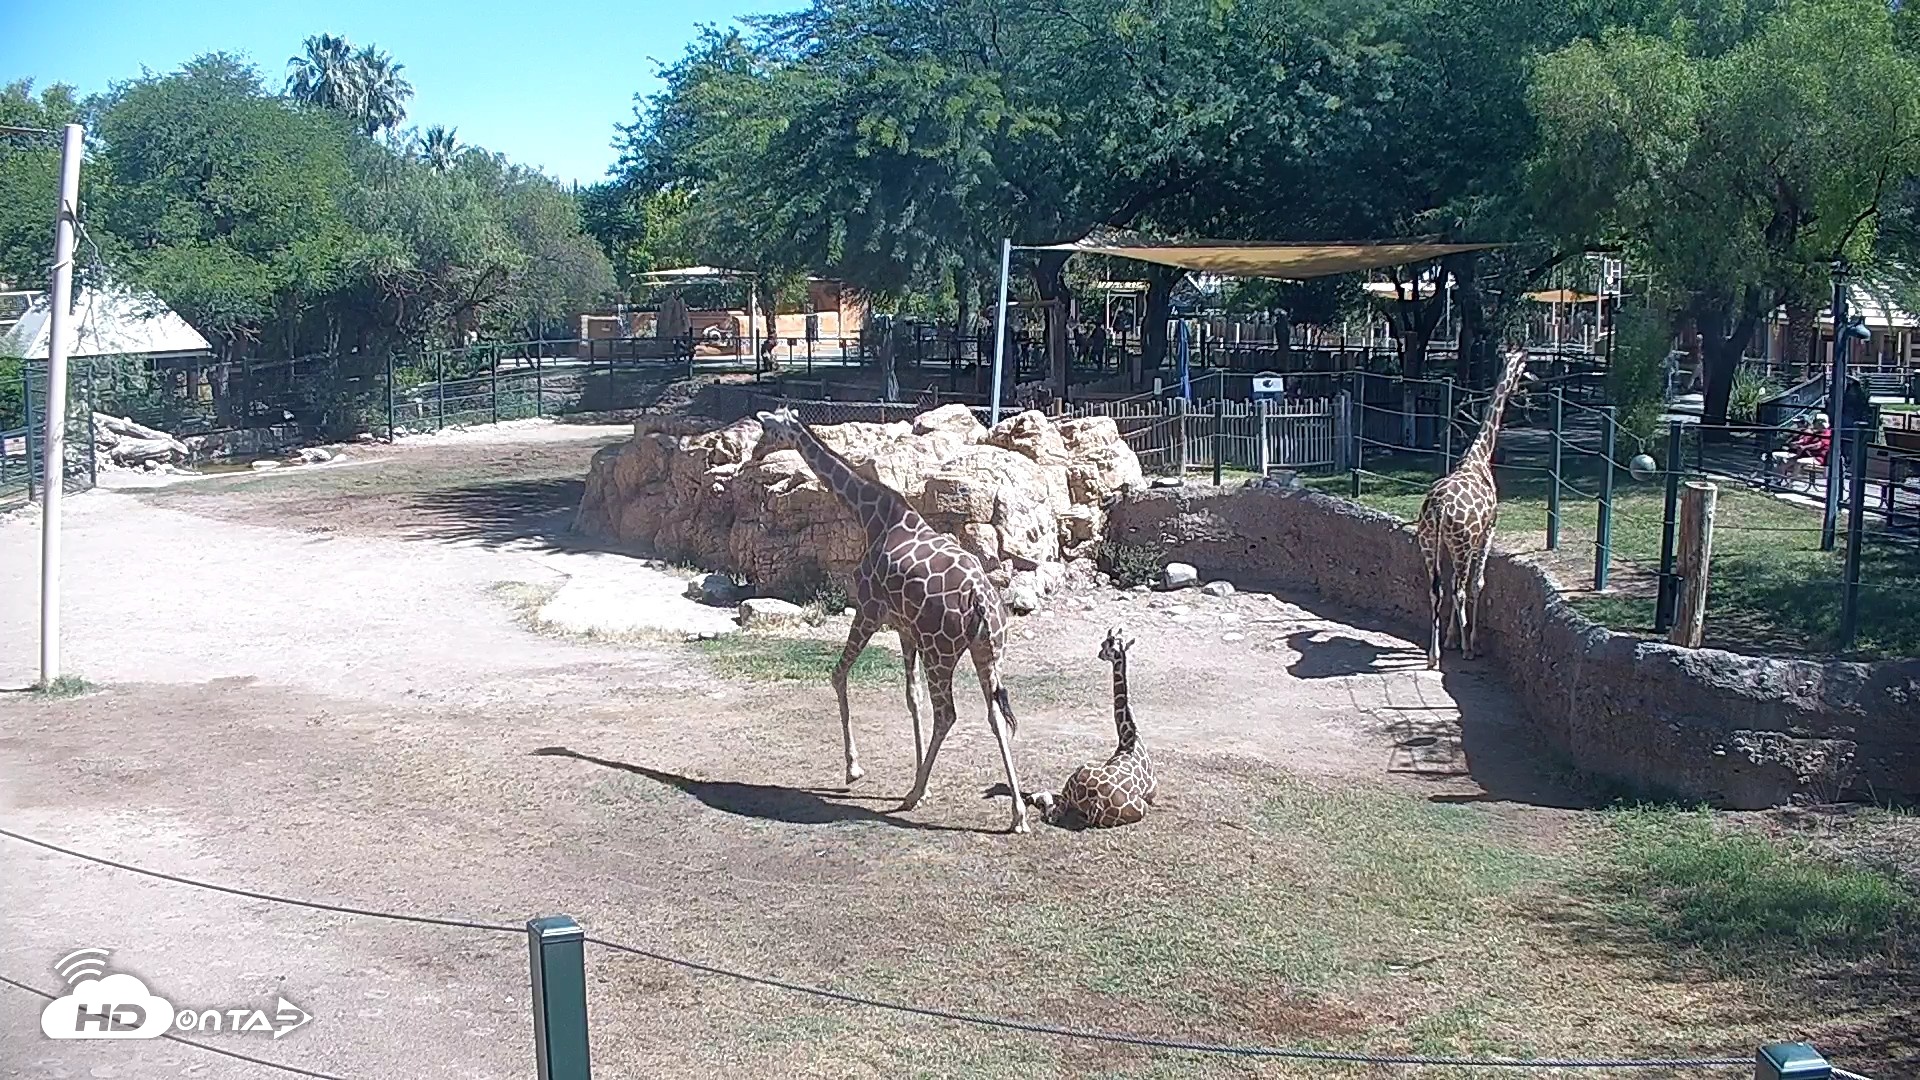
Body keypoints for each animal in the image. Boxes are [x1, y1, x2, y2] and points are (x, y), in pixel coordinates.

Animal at [753, 407, 1031, 833]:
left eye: (767, 428)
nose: (753, 453)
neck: (871, 514)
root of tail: (981, 600)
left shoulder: (869, 610)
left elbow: (838, 674)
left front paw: (855, 770)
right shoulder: (905, 629)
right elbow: (911, 698)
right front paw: (921, 779)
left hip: (940, 652)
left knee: (947, 714)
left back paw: (912, 796)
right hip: (988, 652)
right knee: (995, 715)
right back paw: (1017, 814)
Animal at [1027, 628, 1156, 828]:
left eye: (1105, 644)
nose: (1099, 653)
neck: (1129, 738)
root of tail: (1098, 804)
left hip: (1077, 777)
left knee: (1052, 813)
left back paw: (1034, 796)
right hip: (1139, 805)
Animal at [1414, 348, 1536, 670]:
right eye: (1524, 367)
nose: (1529, 382)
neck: (1480, 454)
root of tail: (1440, 508)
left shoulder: (1448, 543)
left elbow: (1451, 585)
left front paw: (1450, 639)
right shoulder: (1488, 531)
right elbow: (1477, 584)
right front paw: (1470, 642)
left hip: (1428, 541)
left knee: (1436, 589)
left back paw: (1434, 655)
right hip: (1462, 543)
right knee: (1459, 588)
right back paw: (1467, 649)